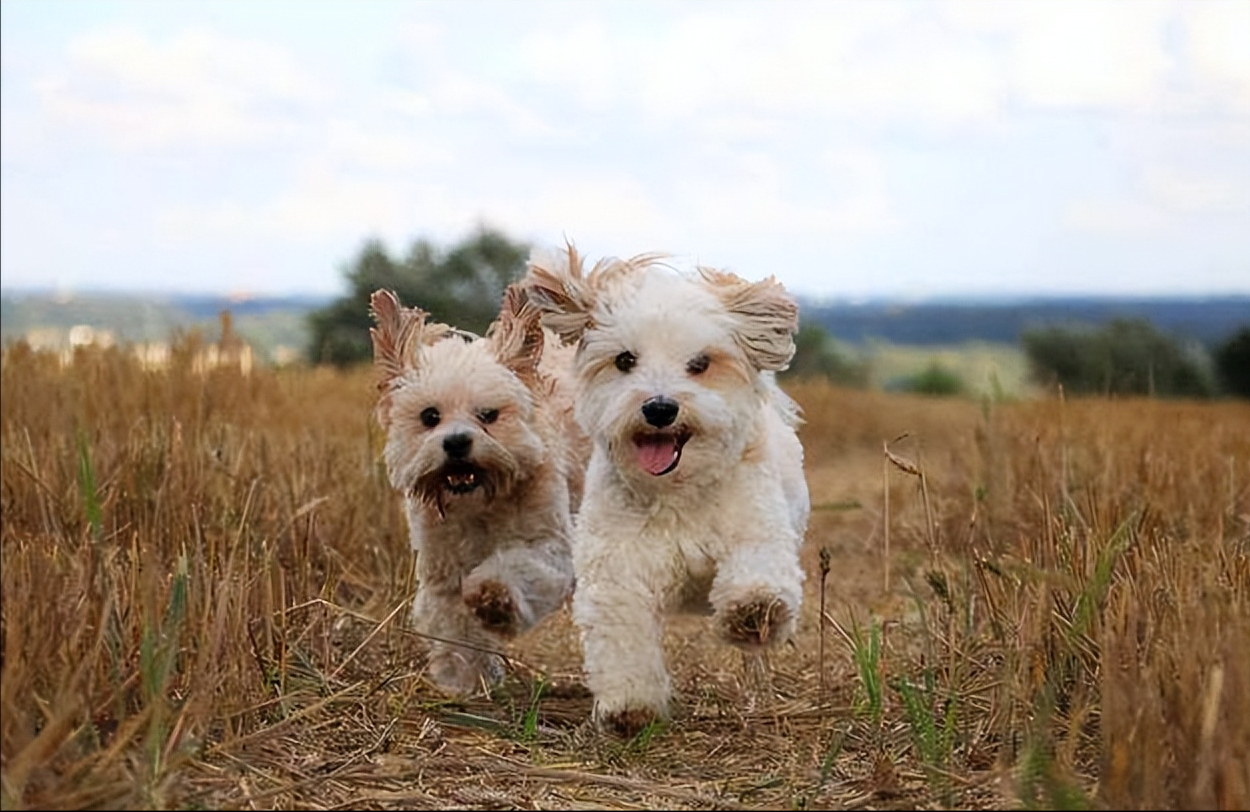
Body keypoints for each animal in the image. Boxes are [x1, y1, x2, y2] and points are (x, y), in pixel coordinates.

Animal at [367, 283, 587, 689]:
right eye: (430, 416)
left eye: (488, 415)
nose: (456, 442)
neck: (481, 506)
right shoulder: (442, 570)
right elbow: (454, 626)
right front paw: (465, 679)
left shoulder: (548, 543)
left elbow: (519, 568)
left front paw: (494, 598)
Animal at [520, 243, 805, 729]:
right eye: (624, 360)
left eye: (700, 364)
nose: (659, 408)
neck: (678, 489)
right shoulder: (618, 570)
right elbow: (624, 638)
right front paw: (629, 707)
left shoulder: (758, 531)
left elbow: (757, 572)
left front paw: (752, 611)